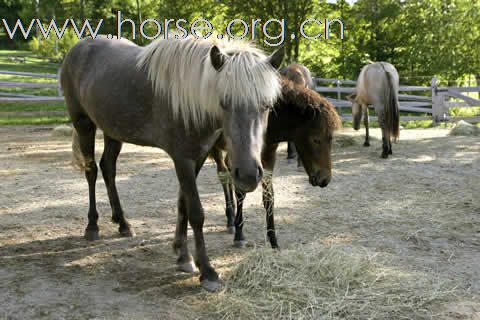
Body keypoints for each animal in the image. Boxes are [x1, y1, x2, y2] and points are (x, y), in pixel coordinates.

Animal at [210, 77, 342, 248]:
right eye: (316, 139)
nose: (324, 179)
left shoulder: (268, 157)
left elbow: (269, 198)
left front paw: (273, 241)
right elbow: (241, 192)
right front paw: (240, 235)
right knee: (223, 175)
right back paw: (231, 219)